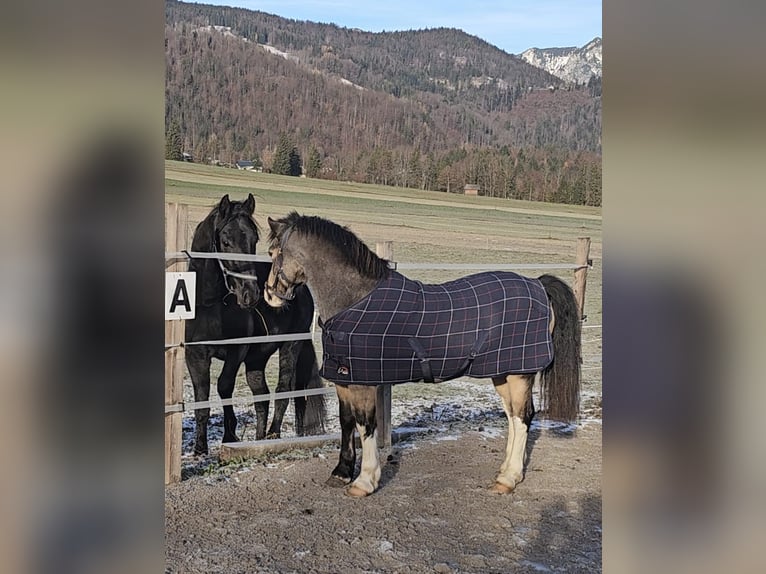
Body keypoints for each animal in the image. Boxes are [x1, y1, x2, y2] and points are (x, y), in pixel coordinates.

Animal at [189, 196, 330, 456]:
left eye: (253, 240)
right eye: (226, 241)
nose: (250, 294)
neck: (211, 305)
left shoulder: (236, 352)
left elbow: (224, 387)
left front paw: (230, 435)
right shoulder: (195, 355)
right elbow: (202, 398)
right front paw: (200, 448)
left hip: (290, 346)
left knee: (283, 391)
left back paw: (273, 435)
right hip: (258, 357)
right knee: (261, 395)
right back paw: (259, 439)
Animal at [264, 213, 584, 500]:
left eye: (272, 253)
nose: (269, 295)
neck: (355, 299)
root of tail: (537, 285)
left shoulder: (363, 382)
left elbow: (366, 425)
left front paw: (365, 481)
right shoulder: (345, 378)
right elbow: (347, 423)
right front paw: (341, 472)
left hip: (519, 374)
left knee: (522, 416)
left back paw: (508, 479)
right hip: (502, 372)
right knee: (513, 417)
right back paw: (505, 472)